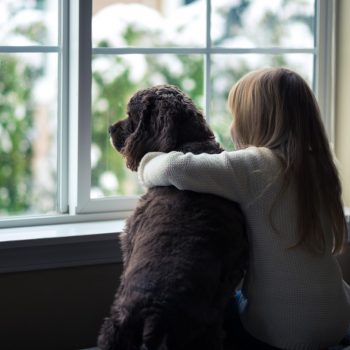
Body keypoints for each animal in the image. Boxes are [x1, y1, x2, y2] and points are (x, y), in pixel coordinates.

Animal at [97, 85, 247, 350]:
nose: (110, 128)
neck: (188, 145)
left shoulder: (129, 240)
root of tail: (155, 312)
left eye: (131, 115)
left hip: (116, 329)